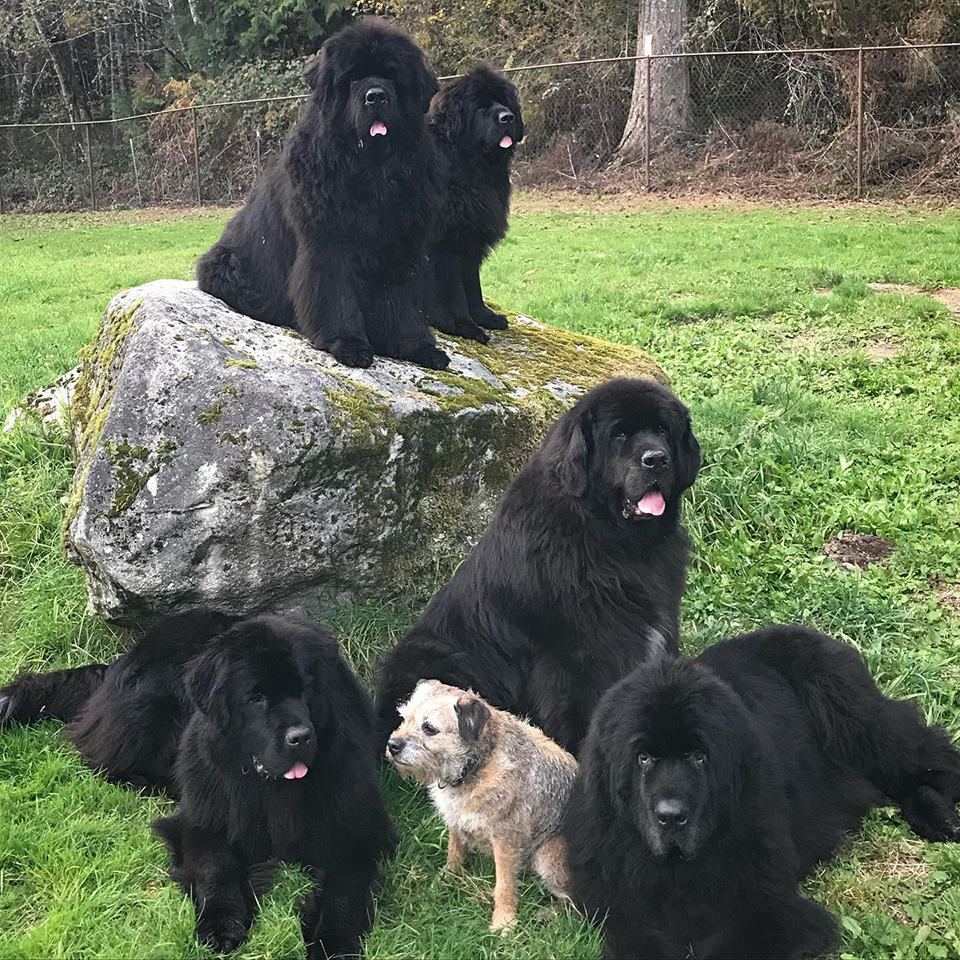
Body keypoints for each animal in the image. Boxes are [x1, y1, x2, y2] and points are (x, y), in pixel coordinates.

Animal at [198, 19, 450, 372]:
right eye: (353, 78)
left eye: (391, 76)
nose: (375, 96)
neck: (372, 170)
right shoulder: (327, 244)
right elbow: (334, 295)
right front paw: (349, 344)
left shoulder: (401, 247)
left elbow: (402, 303)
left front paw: (418, 346)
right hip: (231, 265)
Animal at [376, 376, 704, 756]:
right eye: (619, 434)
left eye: (662, 429)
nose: (656, 459)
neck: (611, 540)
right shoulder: (574, 658)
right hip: (439, 658)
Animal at [384, 680, 576, 932]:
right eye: (404, 718)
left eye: (429, 728)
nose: (392, 745)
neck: (479, 763)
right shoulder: (455, 820)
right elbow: (454, 851)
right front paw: (446, 879)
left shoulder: (505, 838)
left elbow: (504, 885)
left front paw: (503, 923)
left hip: (548, 857)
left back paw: (550, 913)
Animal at [424, 63, 520, 344]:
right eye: (480, 106)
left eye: (505, 101)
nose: (507, 117)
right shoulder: (443, 244)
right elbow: (452, 291)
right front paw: (461, 325)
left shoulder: (471, 239)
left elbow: (472, 286)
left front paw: (484, 317)